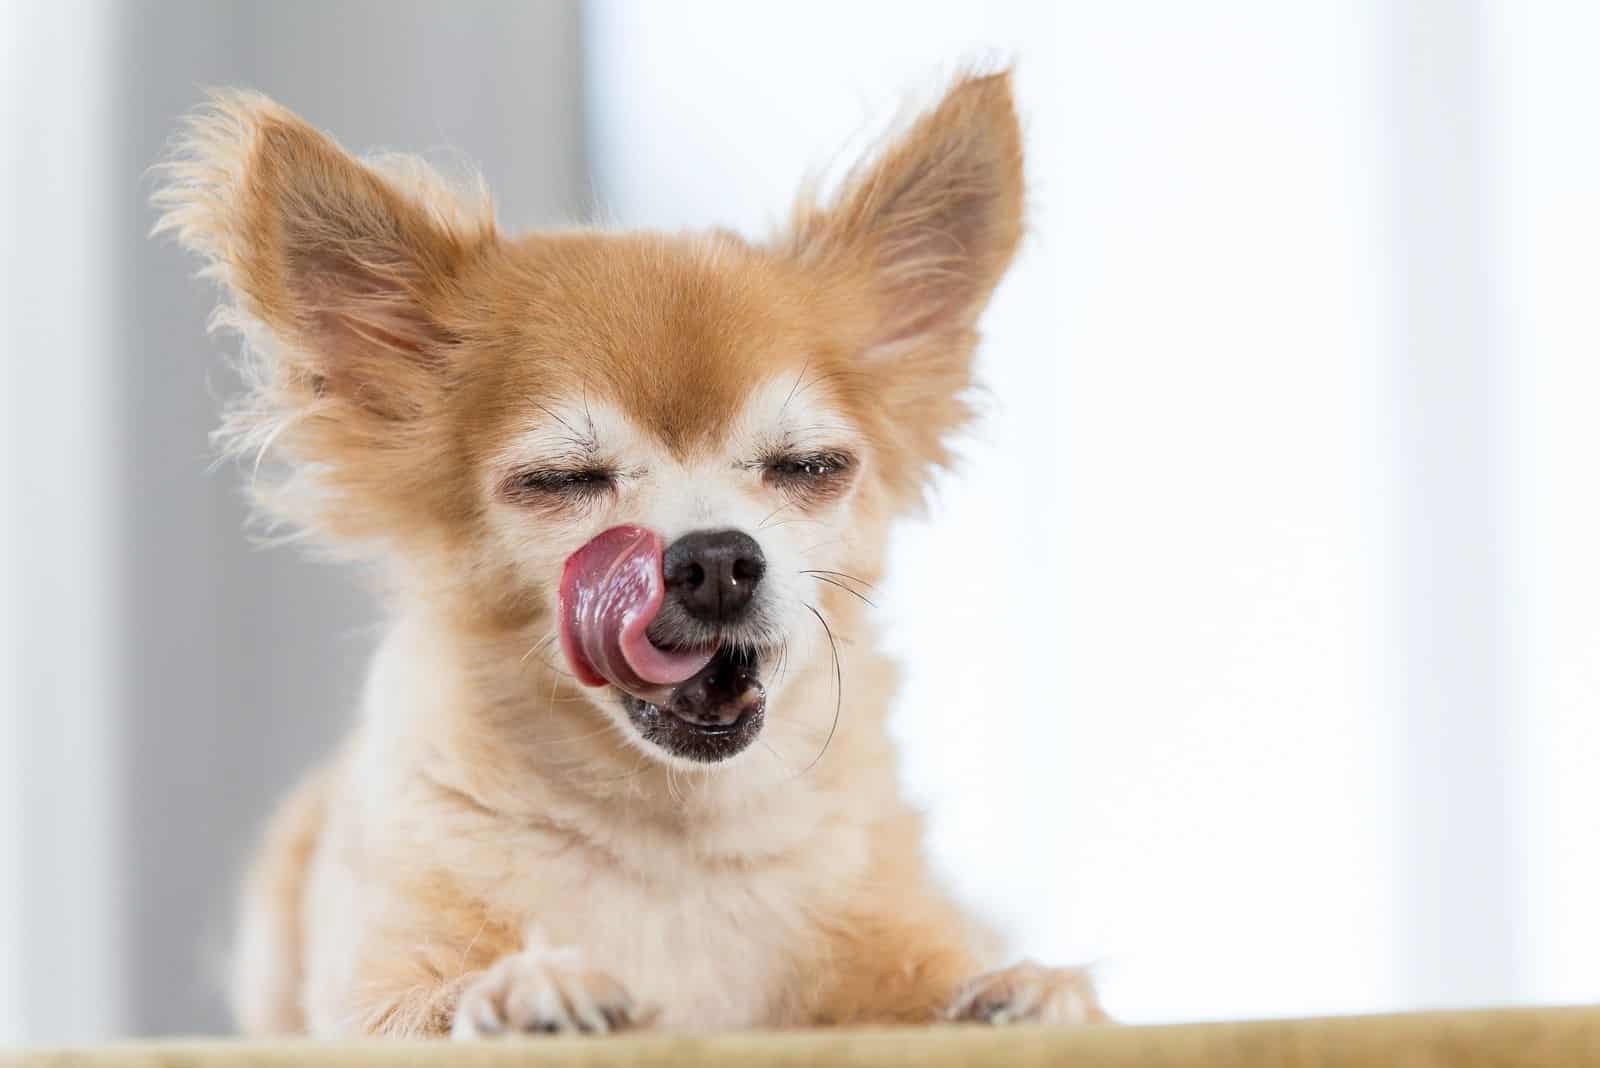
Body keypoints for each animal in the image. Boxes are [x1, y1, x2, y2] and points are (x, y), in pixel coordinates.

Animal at [156, 70, 1107, 1036]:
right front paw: (524, 988)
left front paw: (1020, 990)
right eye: (563, 480)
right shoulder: (370, 997)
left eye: (810, 467)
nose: (718, 557)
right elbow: (428, 1002)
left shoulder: (892, 929)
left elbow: (929, 979)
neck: (672, 839)